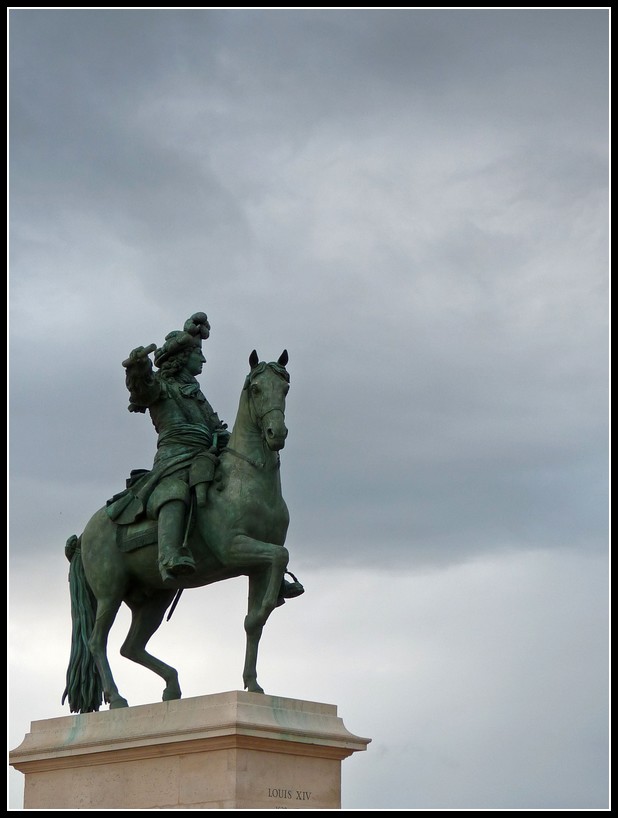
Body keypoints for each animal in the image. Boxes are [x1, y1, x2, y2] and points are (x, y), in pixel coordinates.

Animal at [63, 348, 294, 712]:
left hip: (155, 598)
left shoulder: (257, 567)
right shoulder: (235, 549)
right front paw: (139, 363)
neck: (249, 479)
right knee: (97, 641)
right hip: (110, 593)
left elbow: (254, 621)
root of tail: (84, 535)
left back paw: (171, 686)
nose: (276, 434)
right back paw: (117, 698)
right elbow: (280, 556)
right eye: (256, 388)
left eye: (285, 388)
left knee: (130, 646)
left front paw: (253, 683)